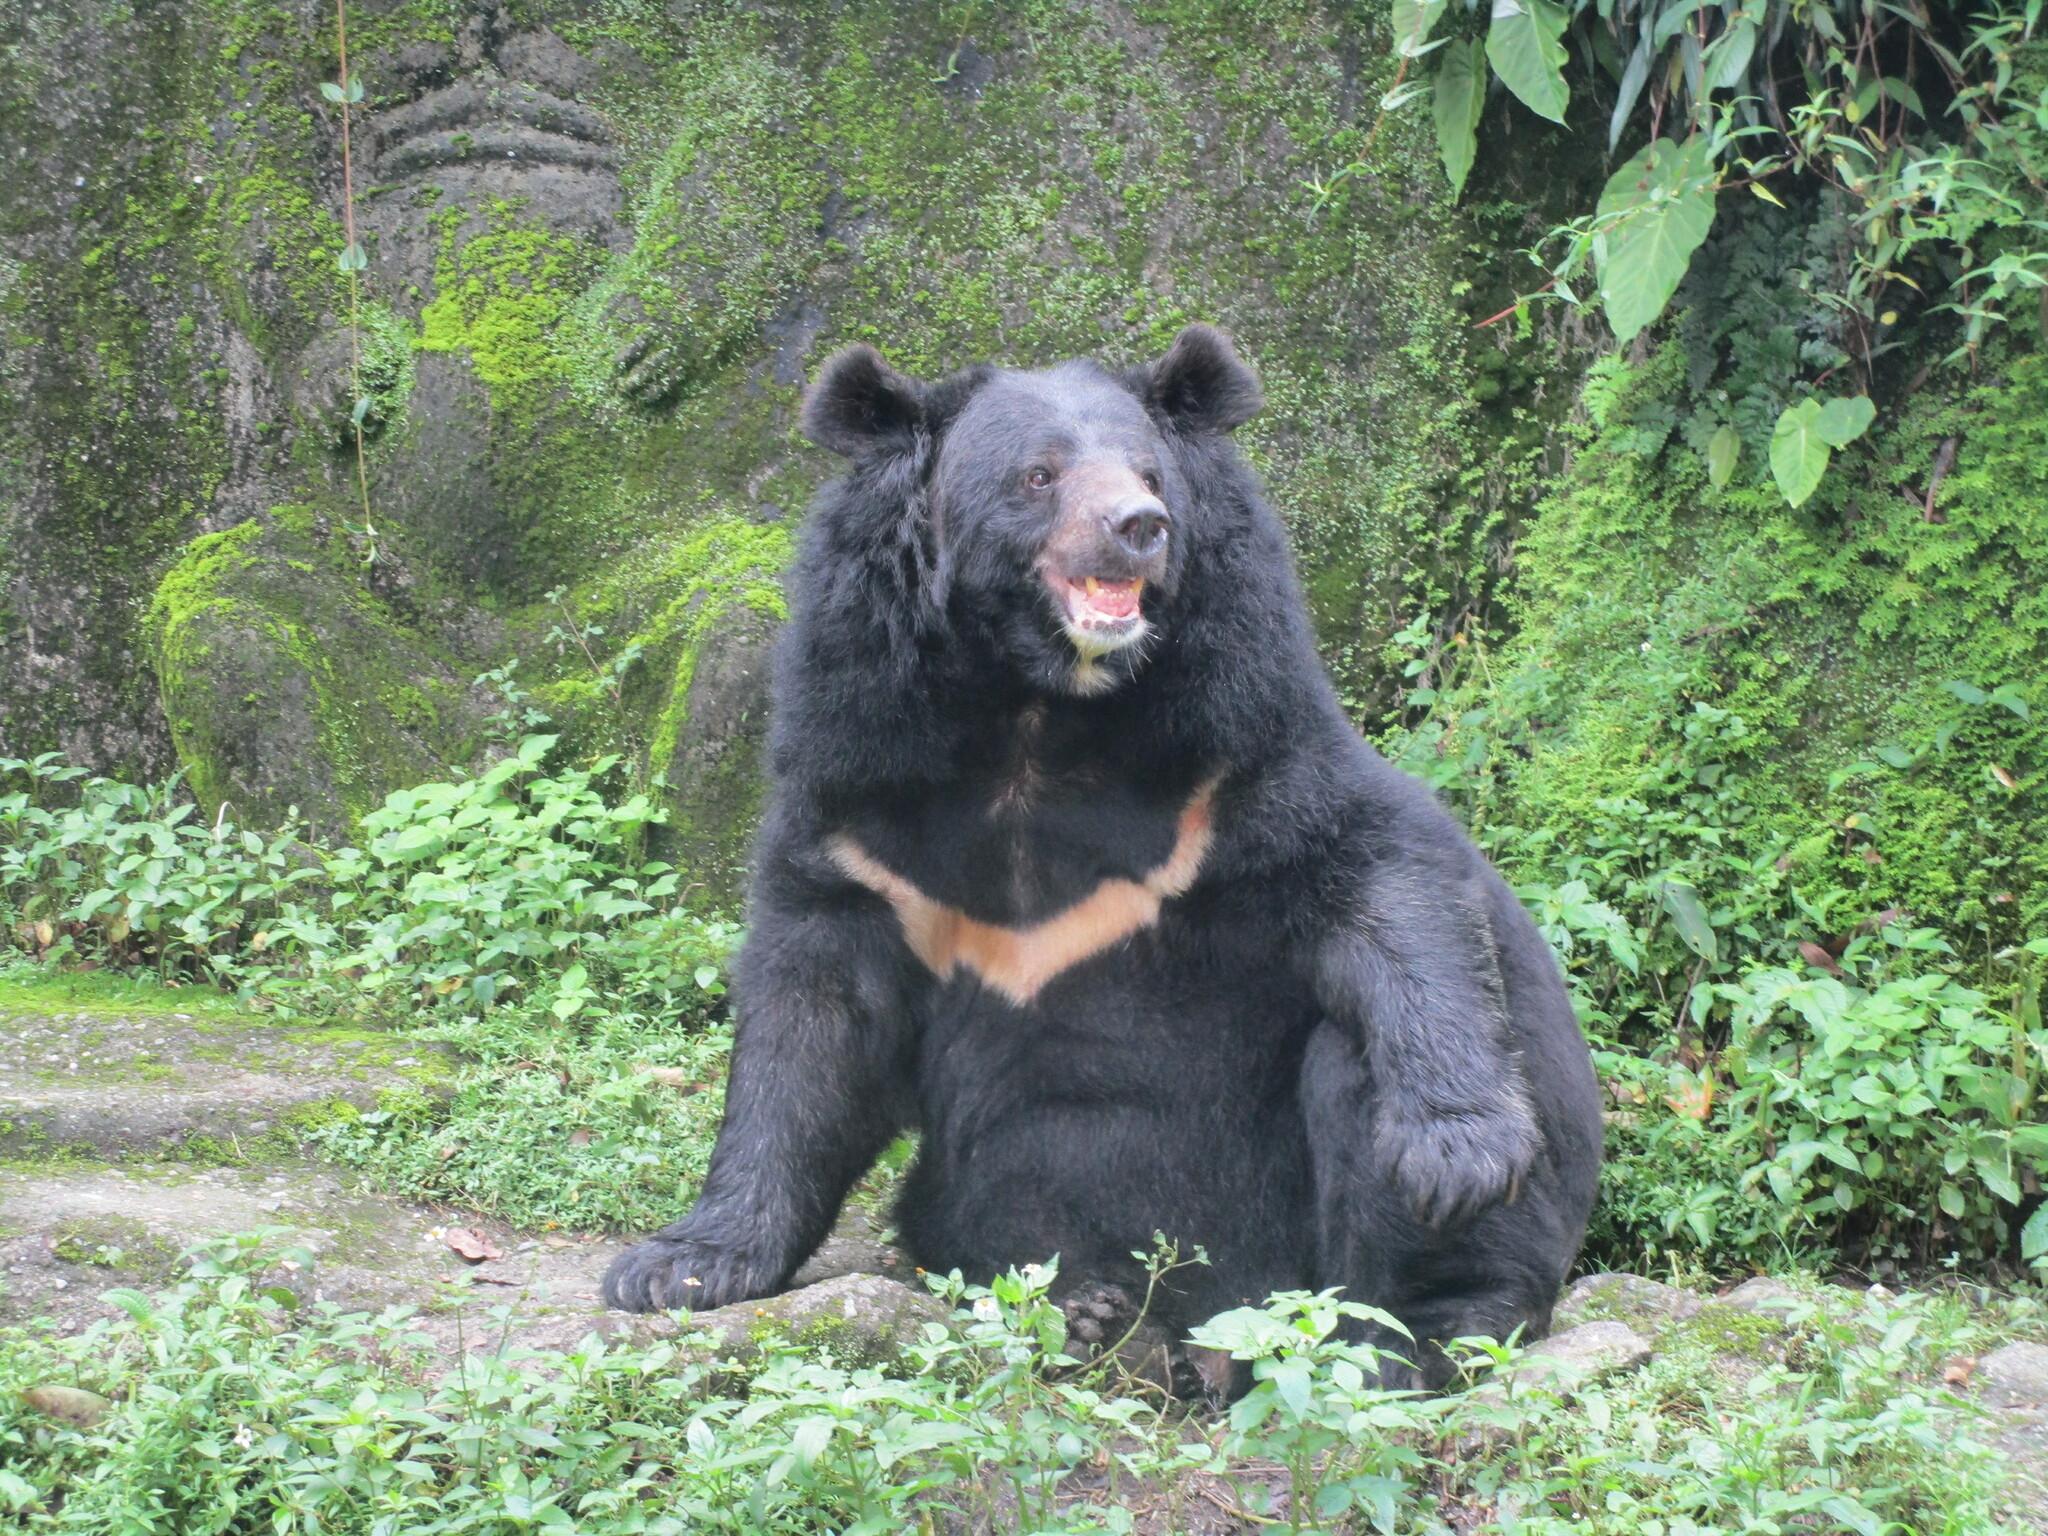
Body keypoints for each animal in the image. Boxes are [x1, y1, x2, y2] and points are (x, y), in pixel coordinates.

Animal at [603, 325, 1603, 1385]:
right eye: (1038, 475)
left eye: (1150, 472)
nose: (1139, 525)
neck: (1040, 709)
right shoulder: (861, 776)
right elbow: (811, 1018)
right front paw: (676, 1267)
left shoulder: (1234, 737)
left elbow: (1376, 863)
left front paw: (1459, 1153)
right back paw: (1090, 1306)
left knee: (1370, 1074)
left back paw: (1409, 1334)